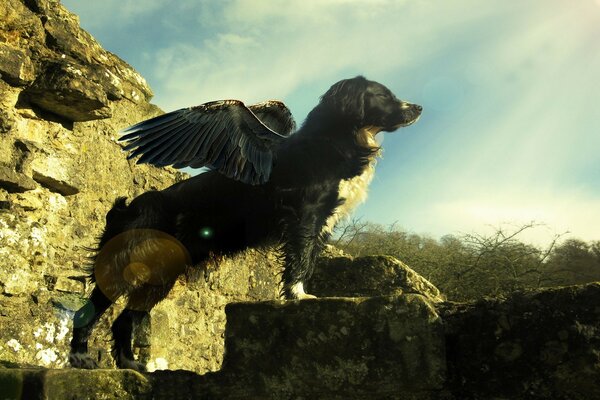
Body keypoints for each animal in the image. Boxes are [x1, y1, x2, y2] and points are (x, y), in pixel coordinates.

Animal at [69, 76, 422, 370]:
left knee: (124, 319)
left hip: (162, 274)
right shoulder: (305, 215)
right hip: (127, 261)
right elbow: (299, 259)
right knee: (90, 309)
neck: (337, 140)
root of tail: (129, 206)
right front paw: (298, 296)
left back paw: (130, 364)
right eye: (383, 95)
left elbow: (309, 260)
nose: (418, 107)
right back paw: (80, 356)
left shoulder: (324, 222)